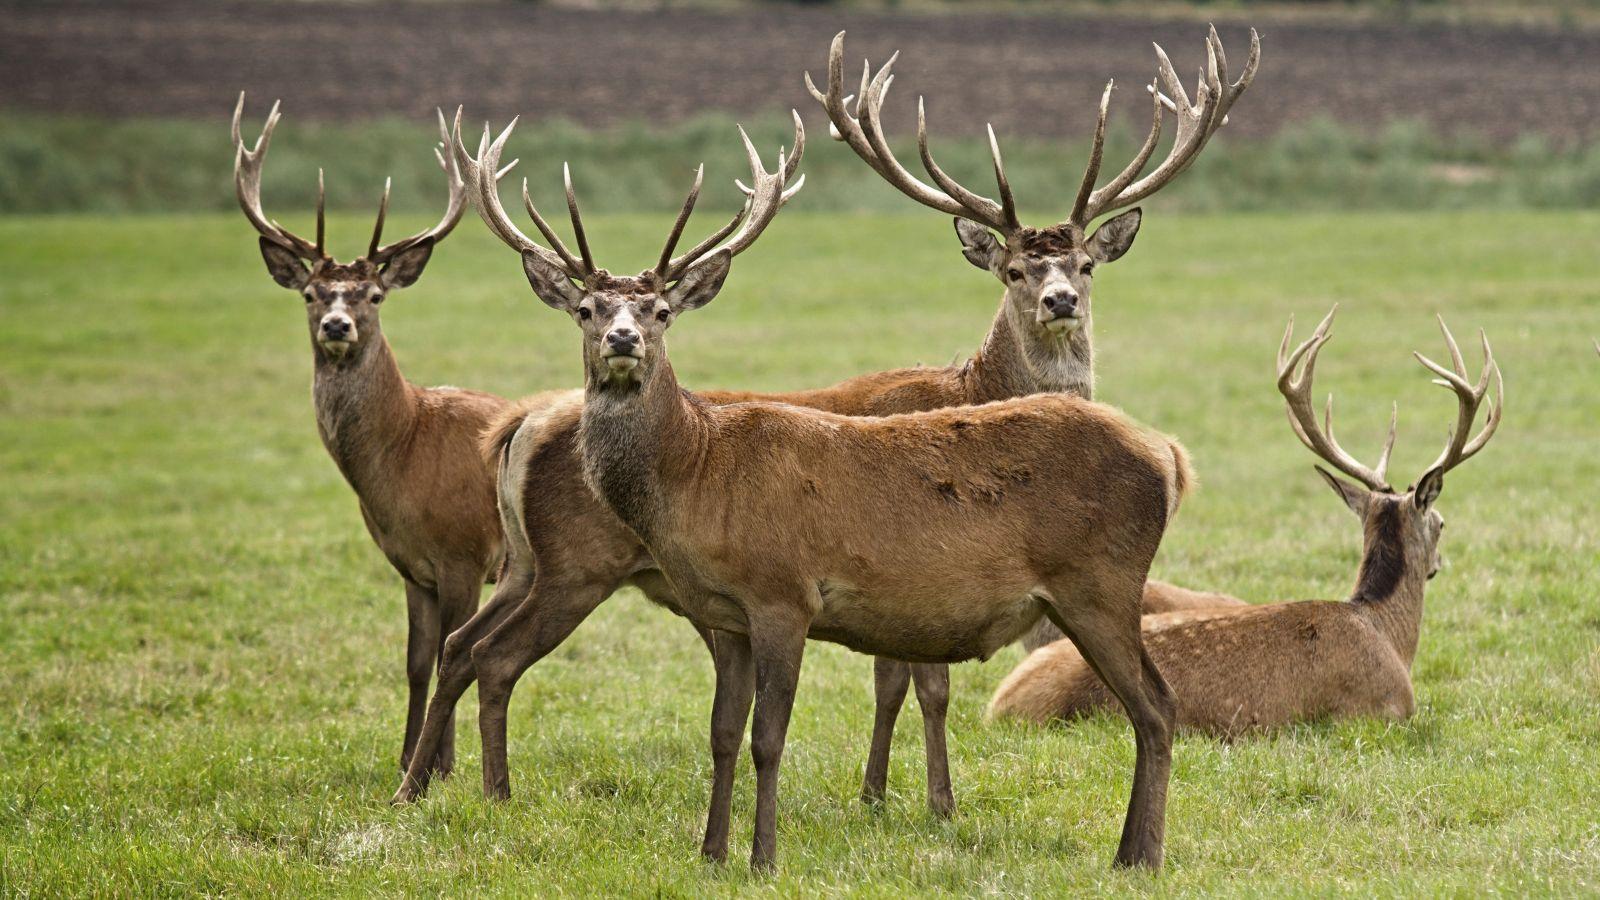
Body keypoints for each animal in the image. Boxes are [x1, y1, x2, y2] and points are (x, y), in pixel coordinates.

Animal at [232, 95, 532, 778]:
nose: (337, 325)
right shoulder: (410, 567)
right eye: (311, 294)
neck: (403, 456)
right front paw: (405, 758)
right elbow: (416, 662)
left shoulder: (463, 553)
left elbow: (453, 653)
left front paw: (441, 765)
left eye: (373, 294)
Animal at [390, 27, 1257, 831]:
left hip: (526, 562)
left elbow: (897, 678)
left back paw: (423, 783)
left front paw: (886, 795)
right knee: (491, 657)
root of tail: (519, 423)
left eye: (1085, 265)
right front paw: (920, 800)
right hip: (575, 564)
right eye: (1013, 268)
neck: (973, 385)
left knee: (462, 648)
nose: (1060, 302)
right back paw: (475, 790)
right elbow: (917, 682)